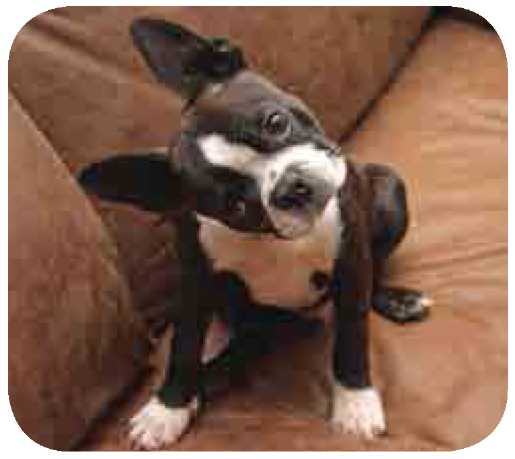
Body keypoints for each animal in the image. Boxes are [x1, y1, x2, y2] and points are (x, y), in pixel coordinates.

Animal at [79, 18, 431, 450]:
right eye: (234, 204)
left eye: (276, 122)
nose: (291, 187)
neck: (275, 240)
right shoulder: (196, 281)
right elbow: (184, 344)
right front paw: (168, 407)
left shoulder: (351, 258)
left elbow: (352, 332)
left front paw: (355, 402)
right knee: (246, 344)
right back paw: (206, 381)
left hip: (388, 190)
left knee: (372, 276)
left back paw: (398, 301)